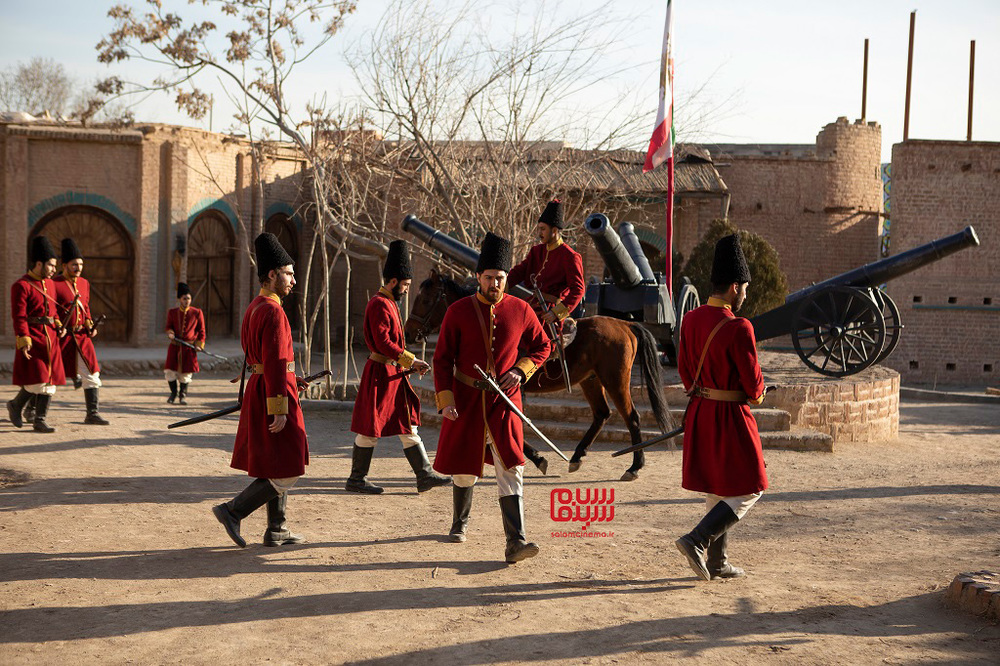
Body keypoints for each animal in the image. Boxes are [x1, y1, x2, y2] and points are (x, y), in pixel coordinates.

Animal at [402, 268, 676, 480]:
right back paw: (577, 457)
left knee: (632, 417)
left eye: (425, 300)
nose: (408, 333)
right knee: (602, 414)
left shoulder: (511, 387)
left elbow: (513, 419)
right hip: (590, 381)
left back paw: (634, 466)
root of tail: (625, 324)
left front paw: (535, 457)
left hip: (615, 380)